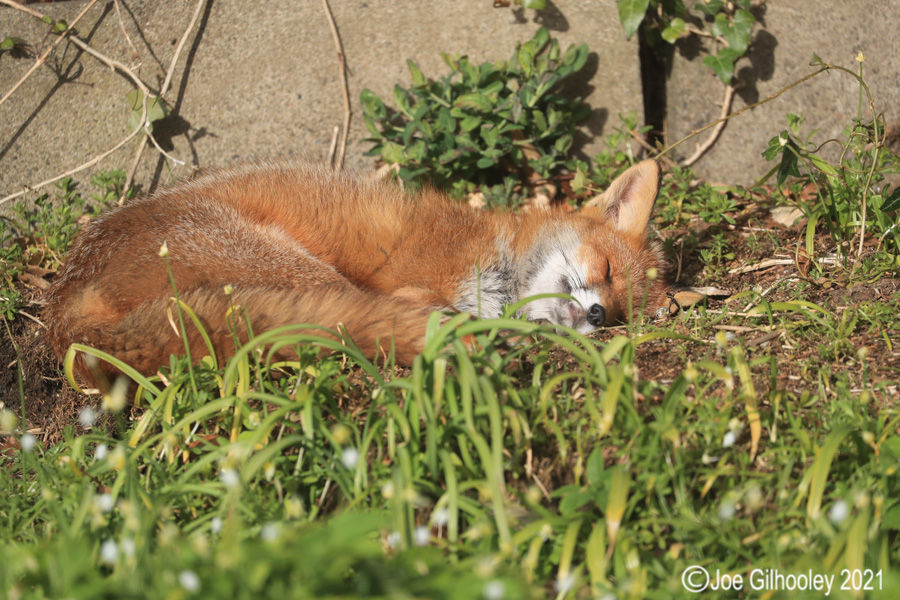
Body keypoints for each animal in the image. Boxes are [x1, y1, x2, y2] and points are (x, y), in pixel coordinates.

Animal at [44, 159, 669, 386]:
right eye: (606, 268)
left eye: (619, 316)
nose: (596, 314)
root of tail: (61, 307)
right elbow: (415, 294)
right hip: (294, 269)